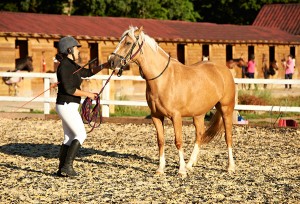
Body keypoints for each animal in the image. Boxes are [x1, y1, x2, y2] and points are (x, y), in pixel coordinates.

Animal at [109, 26, 236, 177]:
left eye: (128, 43)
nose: (111, 62)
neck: (162, 79)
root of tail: (224, 69)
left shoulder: (176, 117)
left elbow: (178, 141)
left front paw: (181, 171)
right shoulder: (156, 116)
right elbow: (161, 141)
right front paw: (160, 169)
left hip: (226, 109)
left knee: (228, 136)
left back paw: (230, 167)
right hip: (199, 114)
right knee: (199, 135)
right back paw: (190, 164)